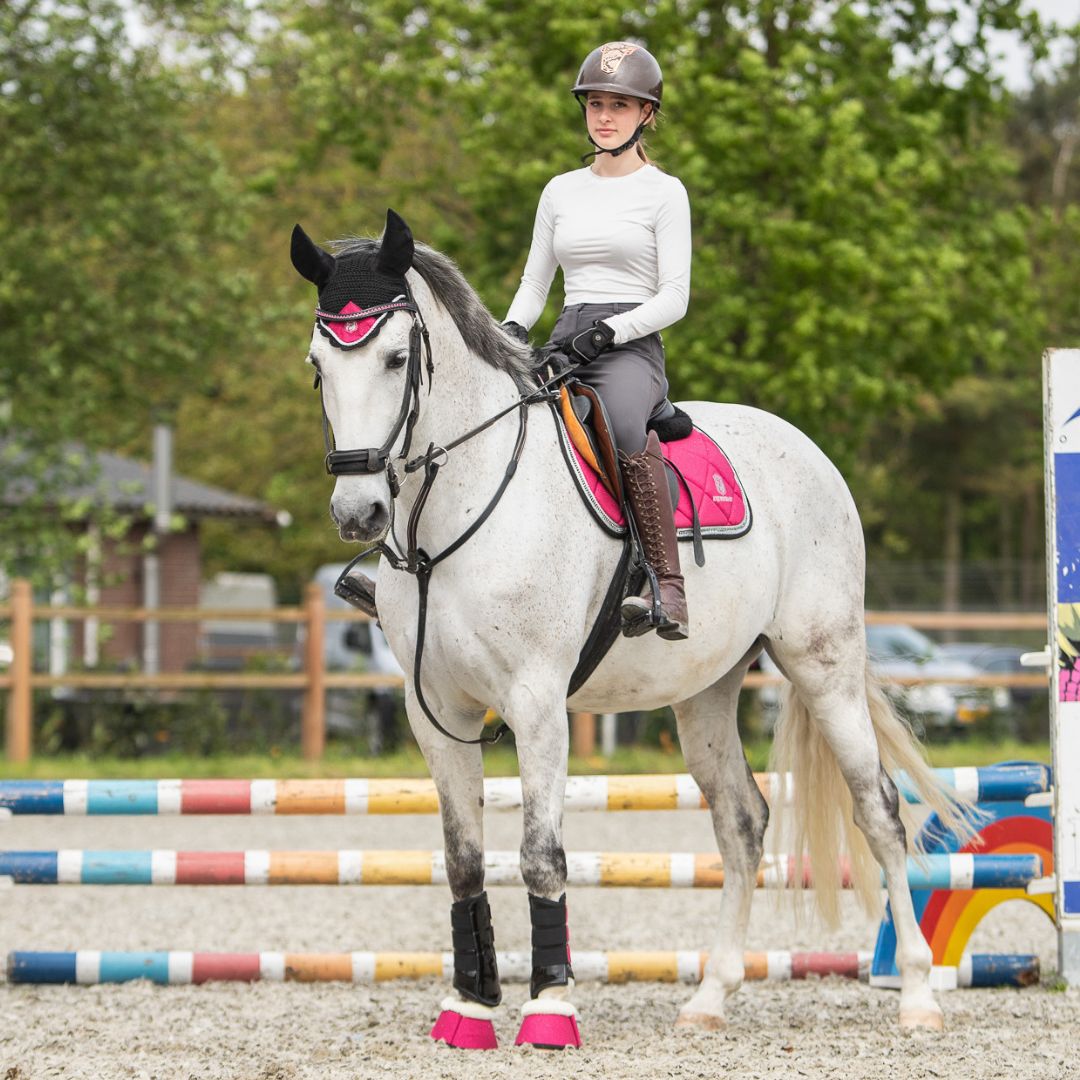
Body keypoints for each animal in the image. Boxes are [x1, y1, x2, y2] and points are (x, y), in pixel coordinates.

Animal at [291, 208, 976, 1045]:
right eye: (318, 365)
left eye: (395, 359)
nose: (358, 512)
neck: (453, 514)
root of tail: (809, 450)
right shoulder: (436, 711)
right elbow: (462, 859)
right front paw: (469, 1008)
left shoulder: (537, 704)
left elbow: (540, 854)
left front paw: (549, 1008)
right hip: (708, 688)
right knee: (742, 822)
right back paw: (710, 997)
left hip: (825, 665)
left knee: (877, 810)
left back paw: (917, 996)